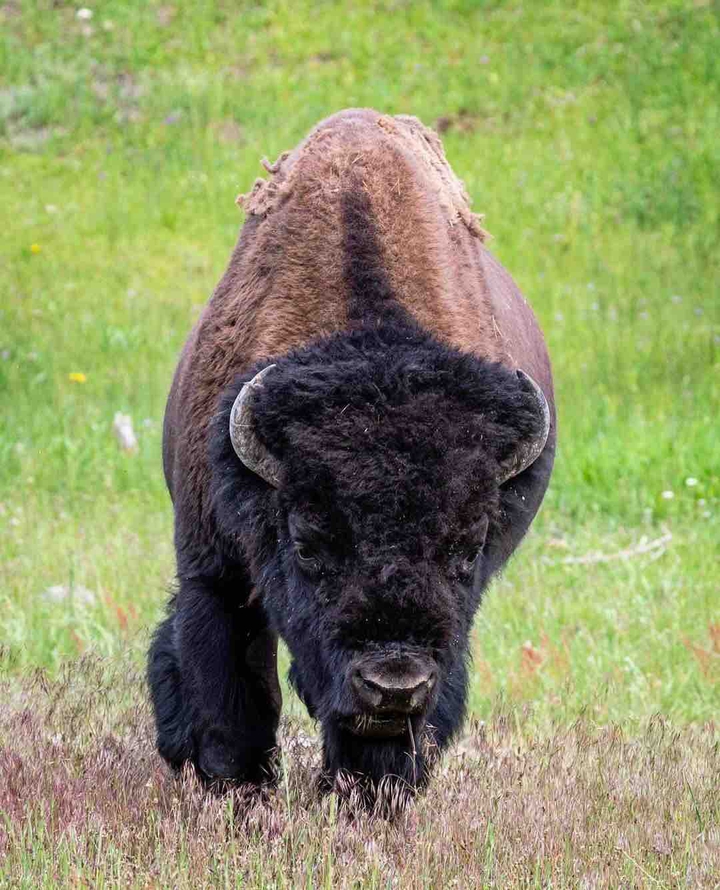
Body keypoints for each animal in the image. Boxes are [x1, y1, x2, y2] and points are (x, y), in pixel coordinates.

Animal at [148, 109, 556, 805]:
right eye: (308, 545)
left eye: (467, 547)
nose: (393, 685)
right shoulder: (214, 570)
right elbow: (232, 695)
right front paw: (235, 793)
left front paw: (368, 796)